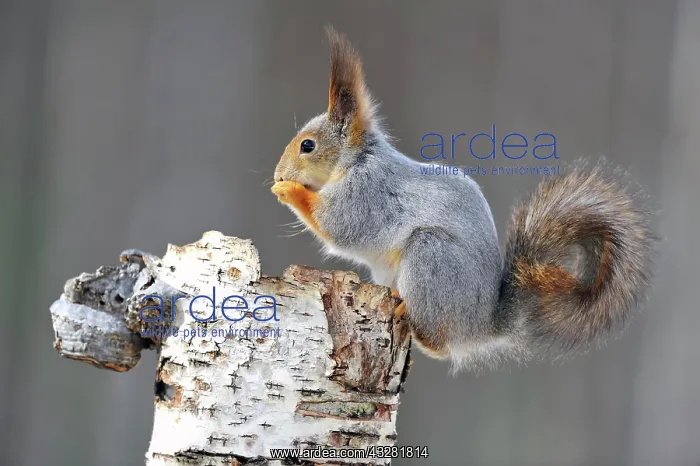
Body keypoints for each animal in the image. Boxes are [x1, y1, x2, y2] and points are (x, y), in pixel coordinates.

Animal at [271, 27, 656, 372]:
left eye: (308, 145)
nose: (278, 174)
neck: (357, 160)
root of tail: (482, 326)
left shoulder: (368, 193)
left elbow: (338, 226)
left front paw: (289, 191)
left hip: (432, 257)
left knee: (441, 345)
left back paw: (412, 319)